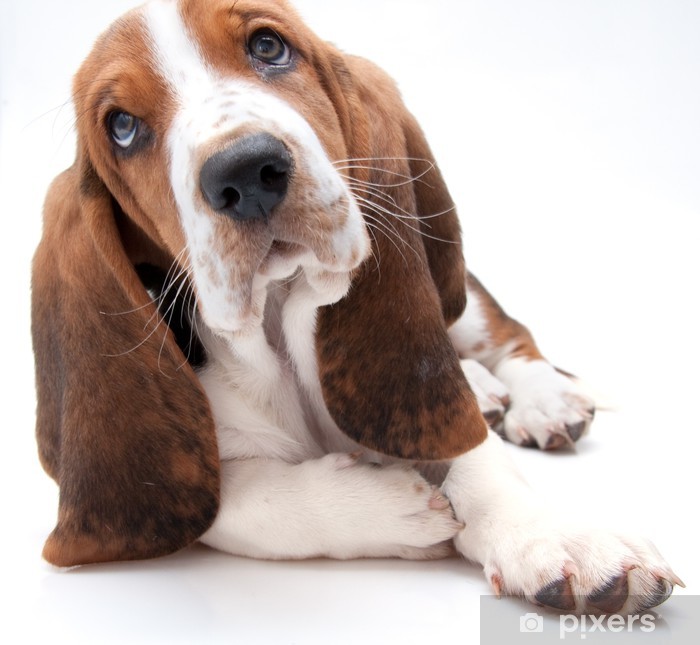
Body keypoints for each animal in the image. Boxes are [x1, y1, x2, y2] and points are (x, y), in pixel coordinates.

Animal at [30, 0, 680, 612]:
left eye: (268, 46)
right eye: (122, 126)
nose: (246, 170)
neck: (278, 319)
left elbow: (478, 460)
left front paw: (563, 540)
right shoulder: (197, 481)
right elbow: (244, 499)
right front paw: (391, 507)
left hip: (463, 297)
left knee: (505, 334)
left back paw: (541, 400)